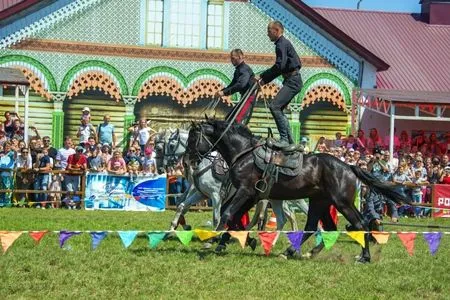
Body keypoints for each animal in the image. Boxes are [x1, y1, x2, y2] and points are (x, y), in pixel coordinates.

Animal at [186, 119, 412, 262]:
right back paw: (299, 252)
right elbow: (234, 219)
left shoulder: (245, 192)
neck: (244, 154)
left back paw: (364, 257)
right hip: (321, 201)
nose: (189, 160)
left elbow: (227, 214)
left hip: (341, 203)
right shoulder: (252, 196)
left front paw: (213, 242)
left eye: (192, 137)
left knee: (359, 224)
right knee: (319, 227)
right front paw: (241, 241)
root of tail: (348, 167)